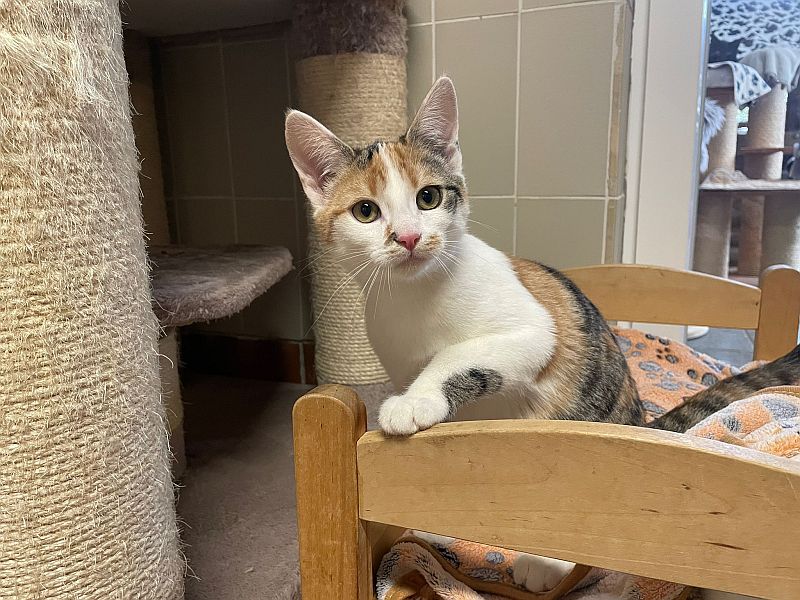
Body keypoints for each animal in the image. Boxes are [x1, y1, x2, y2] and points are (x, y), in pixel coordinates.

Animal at [285, 76, 799, 596]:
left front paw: (415, 401)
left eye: (428, 198)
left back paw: (543, 560)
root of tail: (640, 422)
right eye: (365, 211)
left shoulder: (535, 330)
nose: (409, 238)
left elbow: (462, 354)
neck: (415, 297)